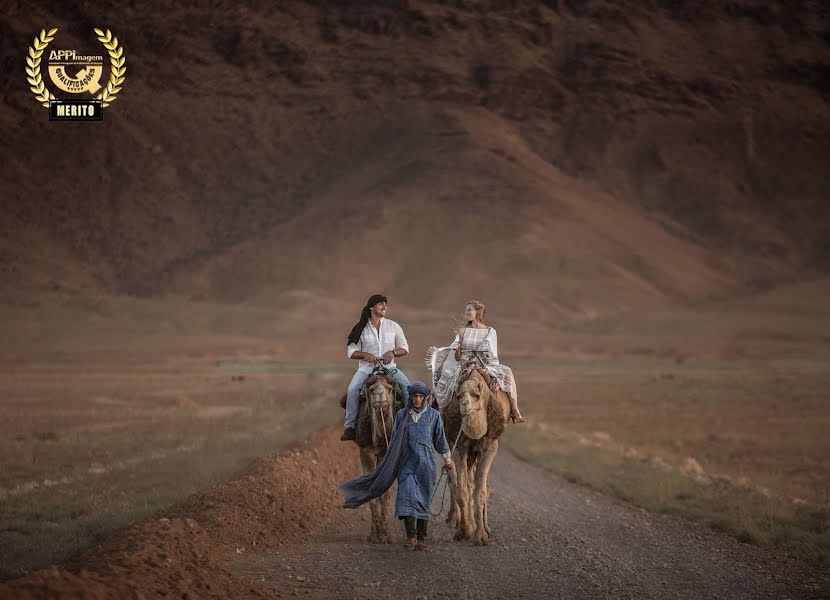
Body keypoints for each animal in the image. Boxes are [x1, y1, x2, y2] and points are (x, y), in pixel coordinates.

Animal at [354, 376, 400, 544]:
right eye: (372, 390)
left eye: (389, 389)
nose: (380, 394)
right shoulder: (366, 451)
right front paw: (375, 534)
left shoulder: (385, 451)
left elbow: (384, 492)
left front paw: (386, 535)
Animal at [446, 368, 510, 548]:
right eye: (458, 395)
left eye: (476, 395)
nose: (464, 405)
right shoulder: (458, 447)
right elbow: (462, 490)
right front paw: (464, 531)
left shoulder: (490, 447)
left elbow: (480, 491)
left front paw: (481, 536)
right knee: (459, 482)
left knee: (484, 486)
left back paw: (486, 528)